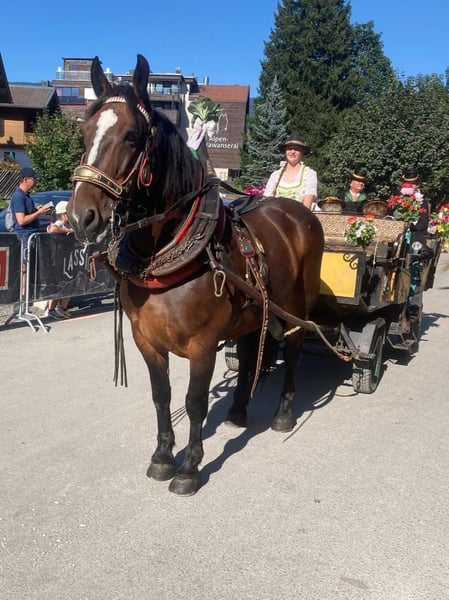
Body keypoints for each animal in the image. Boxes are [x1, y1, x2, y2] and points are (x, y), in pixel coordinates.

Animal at [67, 54, 324, 496]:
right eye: (85, 132)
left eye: (132, 136)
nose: (81, 217)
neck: (168, 253)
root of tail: (298, 214)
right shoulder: (146, 341)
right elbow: (162, 397)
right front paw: (161, 457)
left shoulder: (202, 346)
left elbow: (194, 402)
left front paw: (189, 466)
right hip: (256, 310)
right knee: (253, 350)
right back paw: (238, 411)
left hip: (296, 306)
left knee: (291, 349)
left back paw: (283, 413)